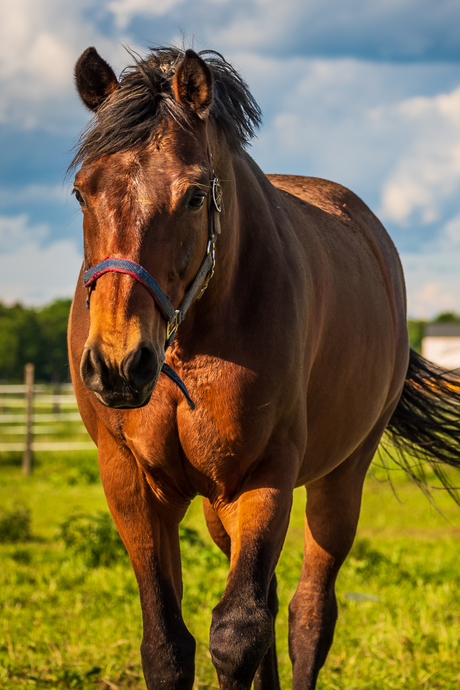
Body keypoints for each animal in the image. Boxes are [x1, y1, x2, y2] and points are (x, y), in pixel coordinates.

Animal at [68, 46, 460, 690]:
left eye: (195, 195)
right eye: (82, 192)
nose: (118, 364)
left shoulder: (264, 476)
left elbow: (235, 636)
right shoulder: (130, 482)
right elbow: (168, 647)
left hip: (339, 478)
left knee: (307, 613)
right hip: (217, 506)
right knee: (270, 601)